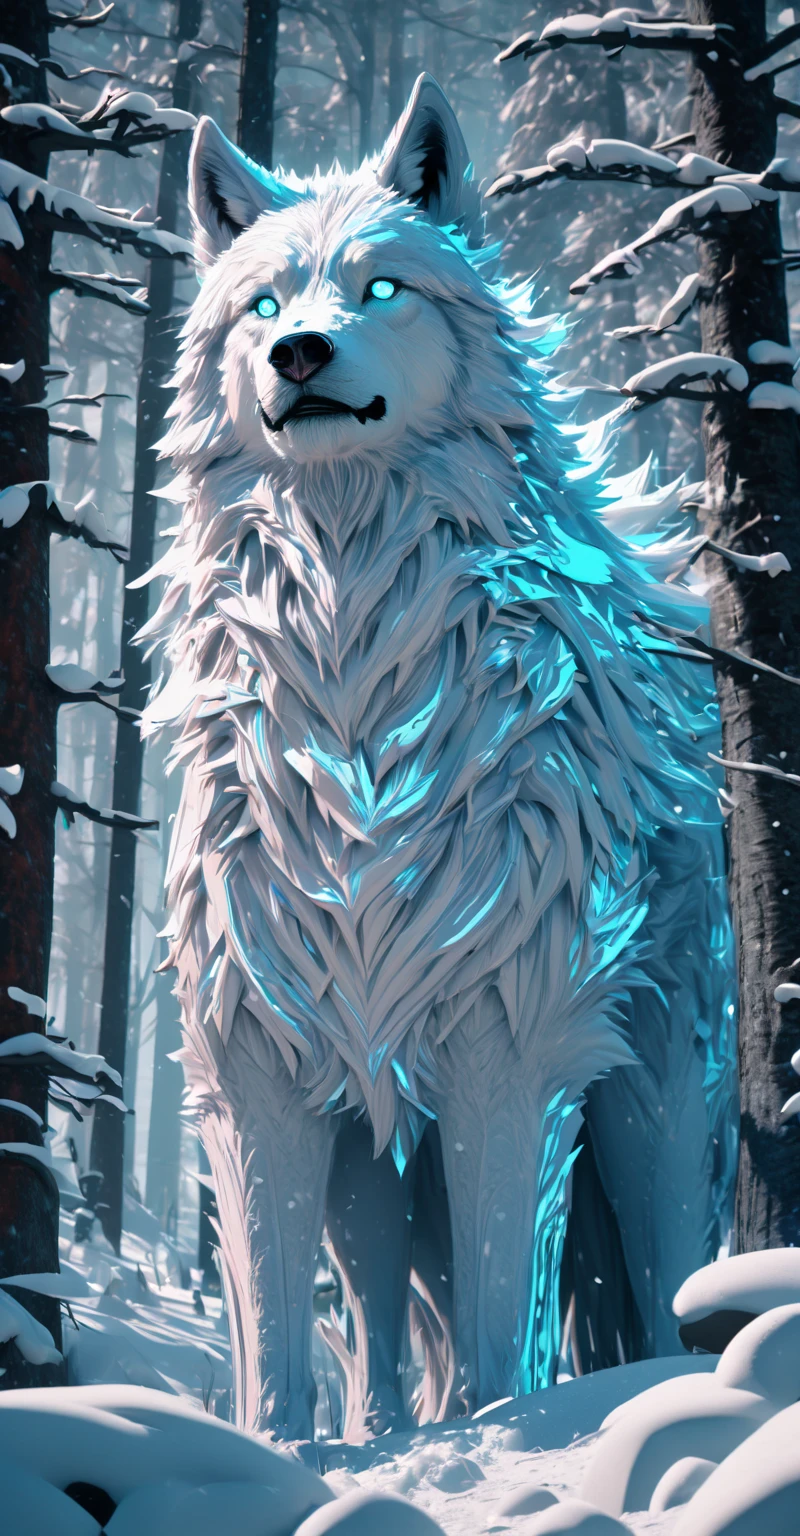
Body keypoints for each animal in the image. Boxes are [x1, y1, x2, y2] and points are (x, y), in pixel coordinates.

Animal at [142, 75, 737, 1440]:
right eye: (263, 304)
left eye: (379, 289)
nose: (298, 353)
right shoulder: (256, 1062)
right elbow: (271, 1336)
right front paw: (275, 1455)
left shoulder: (506, 1044)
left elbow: (505, 1311)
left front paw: (506, 1435)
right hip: (373, 1147)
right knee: (373, 1312)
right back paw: (385, 1429)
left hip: (652, 1092)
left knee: (664, 1266)